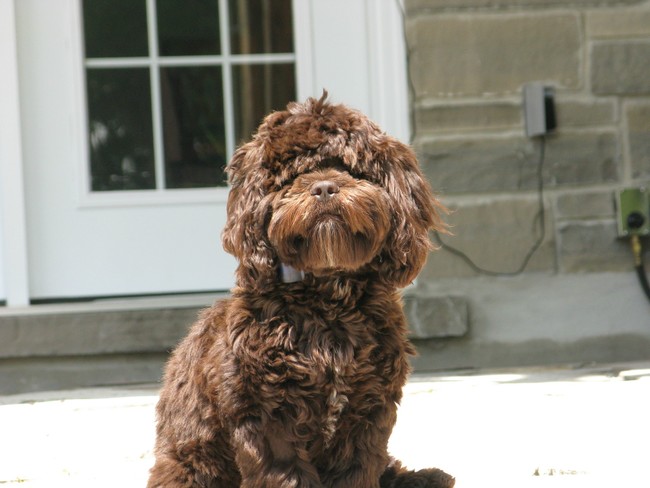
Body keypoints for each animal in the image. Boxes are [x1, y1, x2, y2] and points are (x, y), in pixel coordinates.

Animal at [146, 93, 450, 486]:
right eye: (291, 176)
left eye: (347, 166)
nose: (323, 188)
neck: (328, 299)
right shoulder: (268, 419)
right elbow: (287, 472)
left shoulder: (367, 414)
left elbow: (358, 469)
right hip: (191, 463)